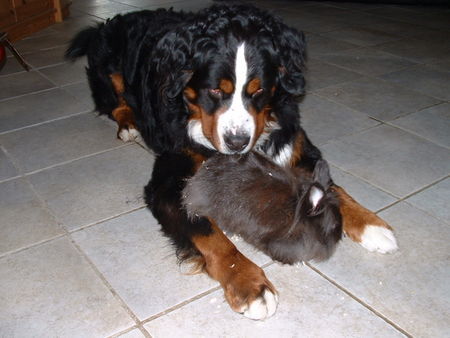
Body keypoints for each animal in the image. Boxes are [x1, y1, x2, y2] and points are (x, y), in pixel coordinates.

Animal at [66, 3, 398, 320]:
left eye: (259, 89)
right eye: (214, 90)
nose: (237, 141)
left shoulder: (296, 146)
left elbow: (332, 187)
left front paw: (371, 223)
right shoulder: (168, 184)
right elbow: (210, 235)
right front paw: (249, 285)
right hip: (110, 73)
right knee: (115, 105)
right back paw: (128, 125)